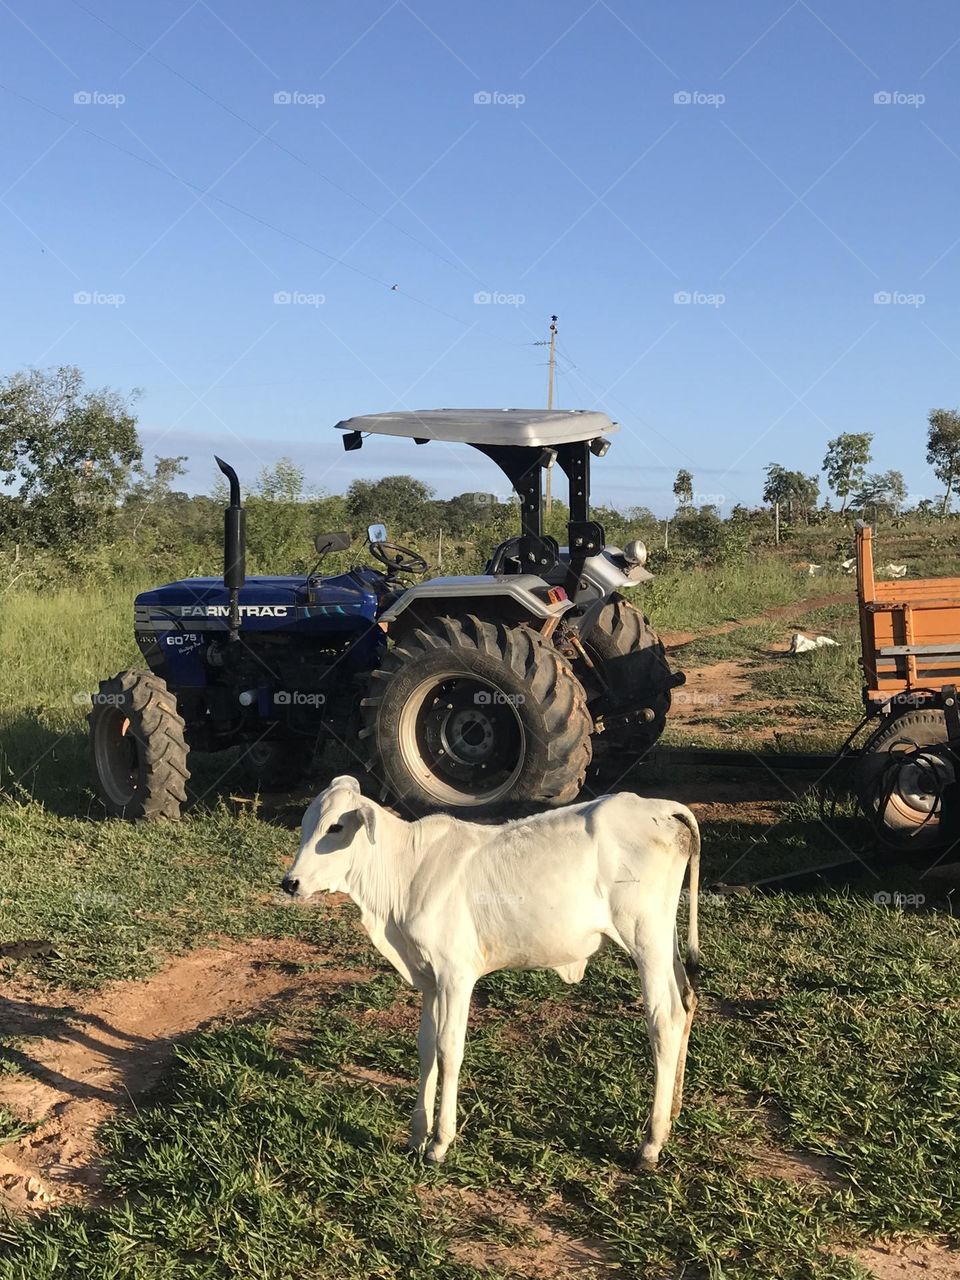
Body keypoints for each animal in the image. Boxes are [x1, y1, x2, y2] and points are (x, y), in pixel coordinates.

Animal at [281, 773, 701, 1167]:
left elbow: (449, 1049)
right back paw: (673, 1113)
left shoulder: (455, 975)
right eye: (306, 823)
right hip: (664, 939)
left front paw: (439, 1142)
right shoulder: (429, 980)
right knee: (687, 1000)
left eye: (335, 827)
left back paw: (651, 1142)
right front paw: (417, 1134)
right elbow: (425, 1048)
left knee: (665, 1020)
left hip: (645, 938)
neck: (404, 874)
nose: (290, 882)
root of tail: (661, 807)